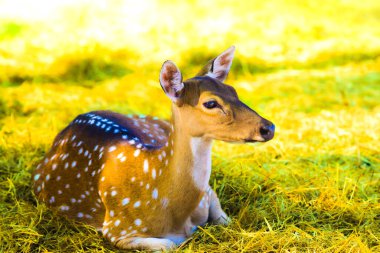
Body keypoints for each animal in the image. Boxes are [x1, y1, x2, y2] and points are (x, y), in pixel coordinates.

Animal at [31, 46, 274, 250]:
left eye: (233, 91)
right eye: (210, 103)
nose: (268, 127)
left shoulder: (208, 193)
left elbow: (225, 220)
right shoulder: (117, 228)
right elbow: (169, 244)